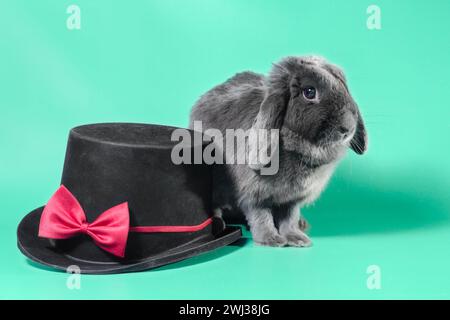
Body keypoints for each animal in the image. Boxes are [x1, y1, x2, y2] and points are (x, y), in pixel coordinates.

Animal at [188, 55, 368, 248]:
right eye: (309, 92)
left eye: (342, 86)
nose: (348, 128)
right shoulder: (254, 196)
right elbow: (261, 216)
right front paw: (271, 239)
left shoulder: (291, 200)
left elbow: (289, 218)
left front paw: (297, 238)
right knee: (215, 207)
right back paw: (219, 225)